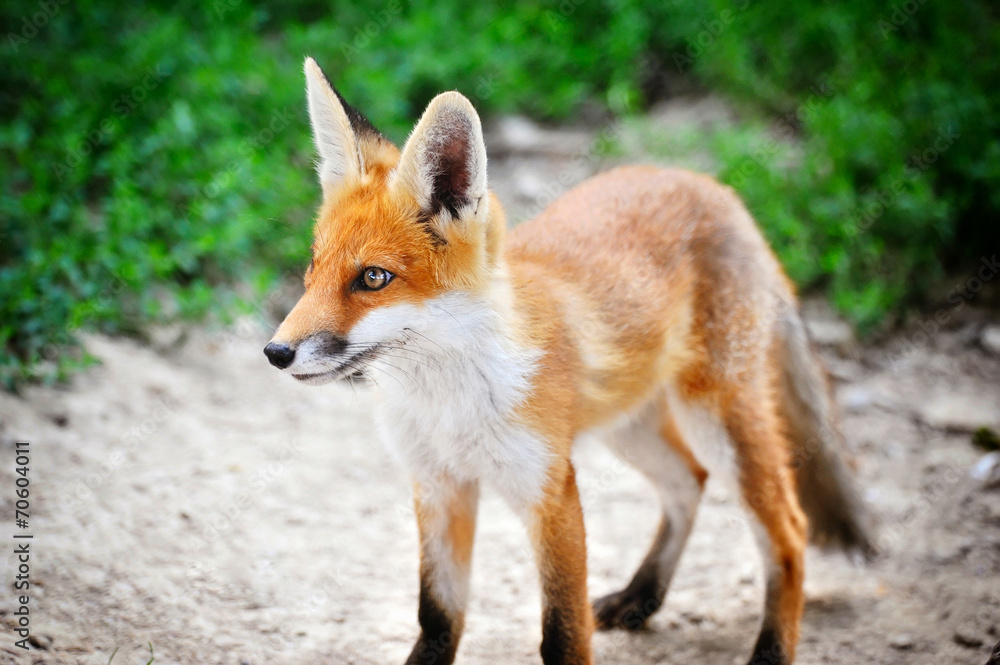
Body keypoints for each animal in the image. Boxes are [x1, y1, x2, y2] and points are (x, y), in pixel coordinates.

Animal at [264, 57, 875, 665]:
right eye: (312, 268)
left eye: (372, 278)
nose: (275, 352)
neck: (450, 406)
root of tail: (715, 187)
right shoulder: (438, 486)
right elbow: (437, 616)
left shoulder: (551, 492)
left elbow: (562, 632)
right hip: (629, 428)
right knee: (688, 483)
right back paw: (642, 595)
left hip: (716, 421)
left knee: (789, 532)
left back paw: (769, 647)